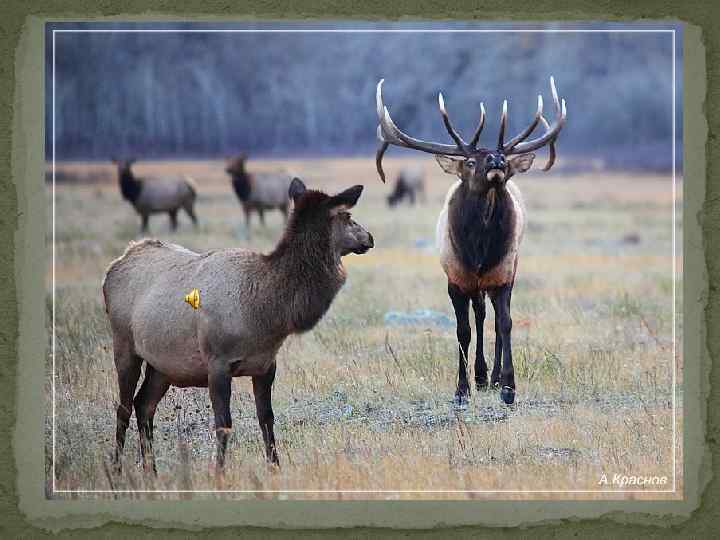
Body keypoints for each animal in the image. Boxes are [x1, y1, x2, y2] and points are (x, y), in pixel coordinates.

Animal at [104, 178, 374, 476]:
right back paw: (116, 468)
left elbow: (266, 418)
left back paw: (151, 471)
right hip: (124, 344)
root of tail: (115, 266)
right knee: (123, 407)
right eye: (347, 215)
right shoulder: (217, 362)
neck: (265, 313)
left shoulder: (266, 365)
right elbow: (224, 423)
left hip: (162, 365)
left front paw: (275, 468)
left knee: (144, 404)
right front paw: (219, 473)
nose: (369, 237)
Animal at [376, 78, 568, 402]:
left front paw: (508, 386)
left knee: (491, 317)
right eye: (468, 161)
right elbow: (462, 330)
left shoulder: (503, 274)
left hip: (507, 270)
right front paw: (462, 389)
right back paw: (479, 376)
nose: (497, 159)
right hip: (473, 282)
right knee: (478, 315)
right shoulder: (455, 278)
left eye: (504, 161)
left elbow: (505, 324)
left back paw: (490, 377)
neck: (478, 250)